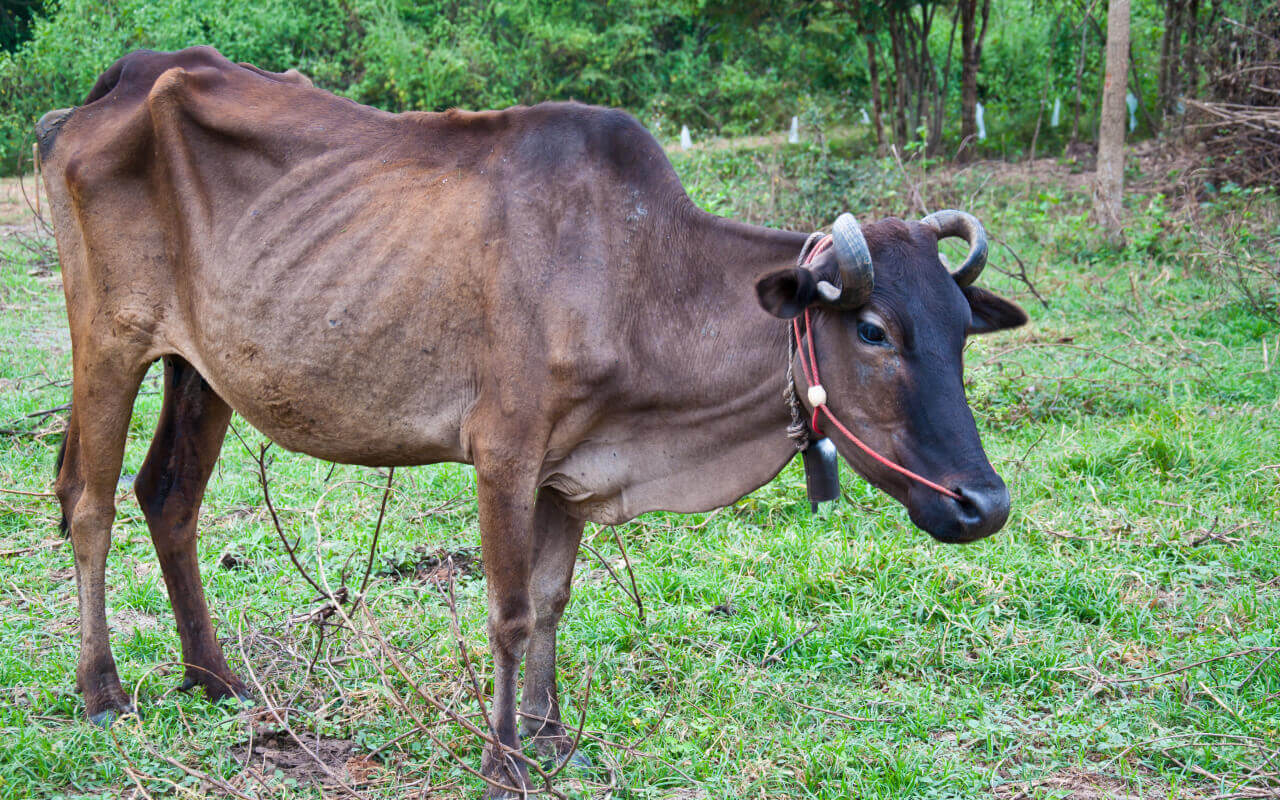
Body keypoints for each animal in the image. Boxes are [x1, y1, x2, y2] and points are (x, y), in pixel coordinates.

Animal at [35, 48, 1024, 793]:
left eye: (962, 330)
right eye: (873, 329)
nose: (984, 505)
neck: (639, 276)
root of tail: (118, 83)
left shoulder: (569, 468)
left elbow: (552, 600)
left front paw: (551, 735)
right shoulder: (504, 453)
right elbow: (509, 612)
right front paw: (504, 756)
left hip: (202, 370)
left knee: (169, 497)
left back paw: (212, 679)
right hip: (110, 340)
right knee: (88, 502)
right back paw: (102, 691)